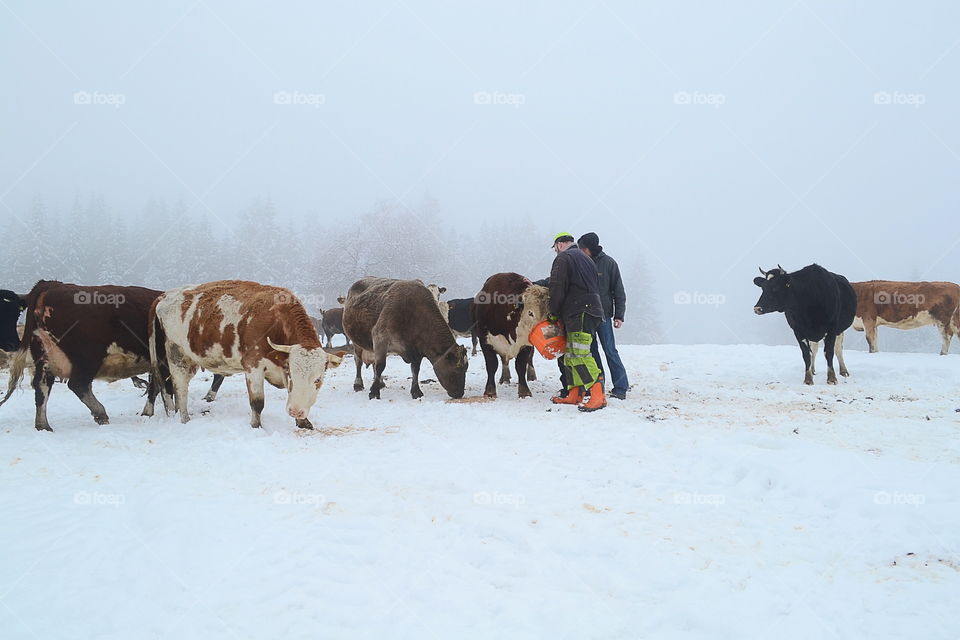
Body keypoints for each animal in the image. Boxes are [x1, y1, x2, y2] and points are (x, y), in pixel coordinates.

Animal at [0, 281, 163, 431]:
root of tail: (51, 284)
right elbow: (155, 387)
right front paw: (148, 413)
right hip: (88, 358)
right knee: (78, 384)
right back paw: (100, 413)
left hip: (45, 359)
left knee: (42, 387)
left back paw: (43, 425)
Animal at [149, 280, 344, 429]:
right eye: (291, 375)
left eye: (318, 379)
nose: (295, 411)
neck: (277, 319)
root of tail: (164, 296)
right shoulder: (253, 365)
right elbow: (257, 403)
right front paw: (256, 427)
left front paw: (303, 422)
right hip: (176, 355)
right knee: (180, 389)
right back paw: (185, 419)